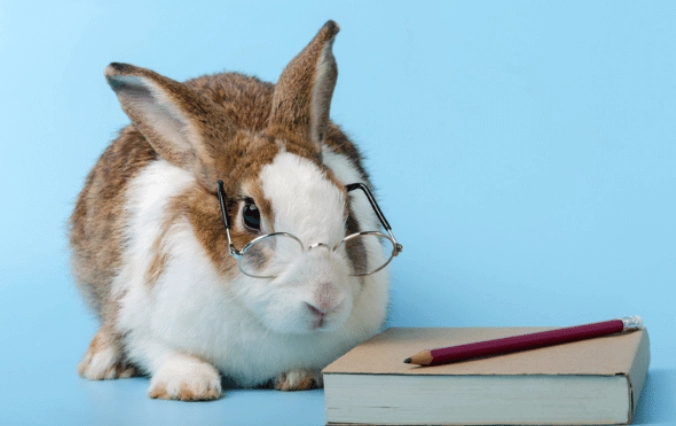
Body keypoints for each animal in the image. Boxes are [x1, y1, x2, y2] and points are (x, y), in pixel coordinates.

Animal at [69, 20, 397, 401]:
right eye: (251, 215)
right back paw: (101, 364)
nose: (325, 300)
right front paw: (189, 386)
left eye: (347, 215)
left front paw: (299, 377)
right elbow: (163, 350)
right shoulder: (144, 323)